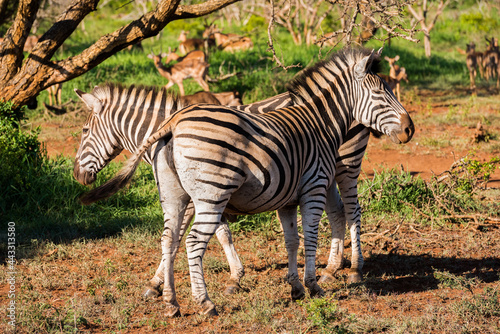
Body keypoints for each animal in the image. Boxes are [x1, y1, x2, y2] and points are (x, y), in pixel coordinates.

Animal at [78, 47, 414, 316]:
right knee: (341, 213)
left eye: (83, 130)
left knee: (352, 211)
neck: (318, 121)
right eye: (382, 94)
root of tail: (172, 125)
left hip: (345, 167)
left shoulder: (217, 198)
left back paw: (352, 271)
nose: (410, 128)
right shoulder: (298, 189)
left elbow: (273, 237)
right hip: (314, 177)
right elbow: (283, 237)